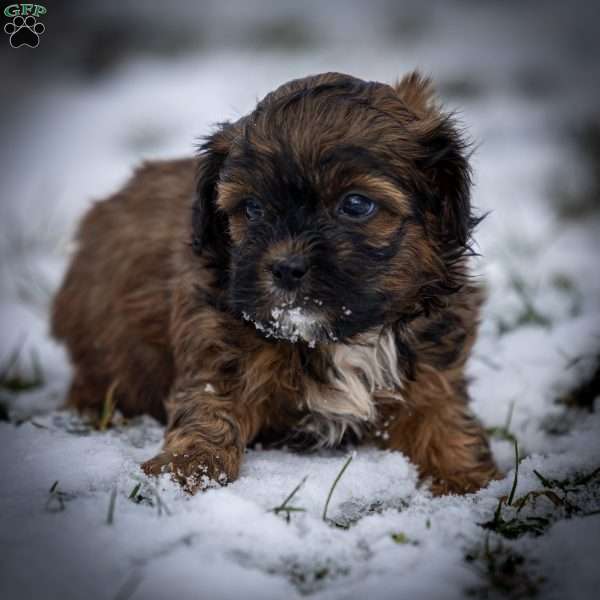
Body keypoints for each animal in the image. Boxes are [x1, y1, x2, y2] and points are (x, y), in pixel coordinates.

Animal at [54, 71, 500, 492]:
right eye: (252, 208)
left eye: (356, 204)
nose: (286, 267)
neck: (336, 338)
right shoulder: (216, 342)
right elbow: (209, 409)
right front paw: (188, 471)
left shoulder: (434, 359)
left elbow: (442, 417)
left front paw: (466, 481)